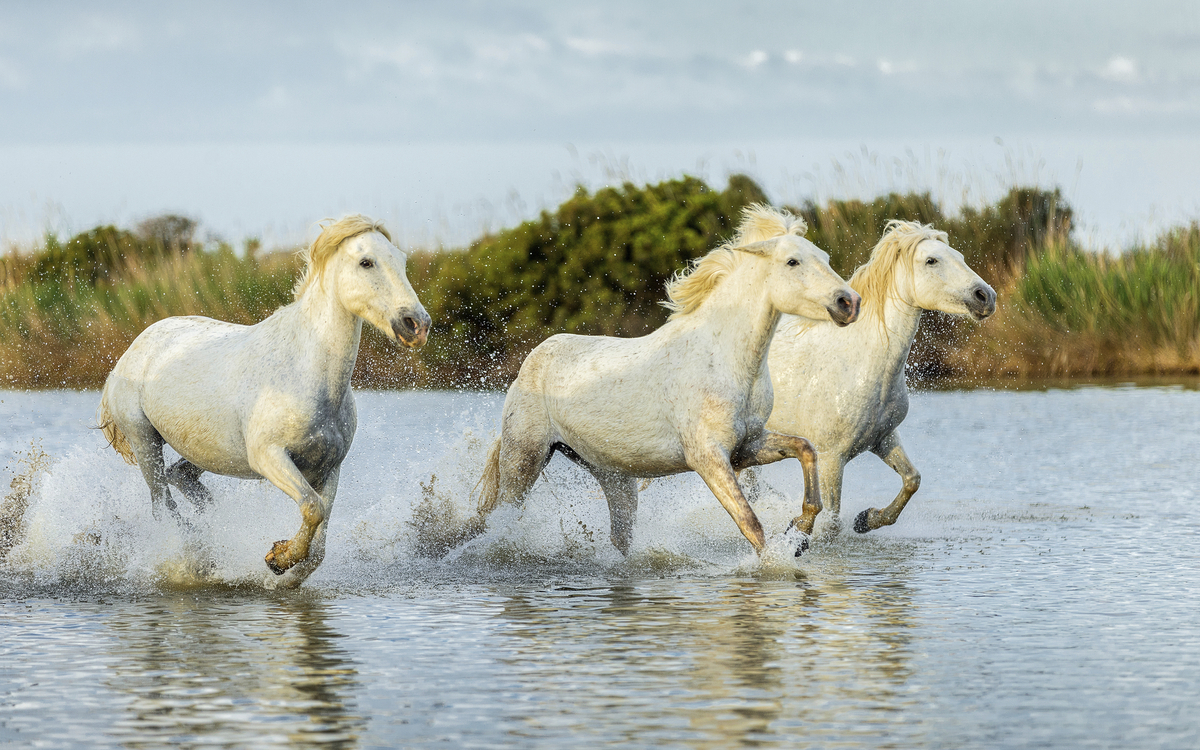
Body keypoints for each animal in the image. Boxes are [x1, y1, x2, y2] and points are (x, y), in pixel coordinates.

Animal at [97, 215, 430, 587]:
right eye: (366, 262)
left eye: (401, 260)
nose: (417, 325)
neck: (304, 373)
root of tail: (133, 350)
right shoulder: (269, 456)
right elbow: (312, 509)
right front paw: (279, 558)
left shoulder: (330, 468)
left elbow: (319, 544)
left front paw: (283, 569)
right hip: (144, 441)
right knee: (162, 506)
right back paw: (197, 558)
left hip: (204, 449)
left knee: (180, 477)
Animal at [464, 205, 861, 558]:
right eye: (792, 262)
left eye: (825, 258)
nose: (849, 302)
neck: (725, 359)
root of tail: (532, 361)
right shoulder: (708, 457)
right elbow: (751, 524)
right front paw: (779, 559)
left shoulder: (746, 446)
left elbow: (805, 450)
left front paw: (800, 533)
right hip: (524, 459)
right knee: (501, 520)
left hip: (613, 476)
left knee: (620, 537)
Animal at [762, 219, 996, 539]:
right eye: (932, 260)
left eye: (959, 256)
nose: (986, 297)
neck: (864, 365)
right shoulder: (831, 458)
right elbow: (831, 523)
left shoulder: (884, 438)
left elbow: (912, 480)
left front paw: (867, 519)